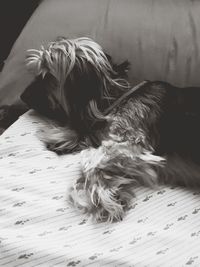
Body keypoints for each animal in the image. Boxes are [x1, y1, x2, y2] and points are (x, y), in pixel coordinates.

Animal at [3, 36, 200, 222]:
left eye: (47, 76)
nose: (22, 96)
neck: (120, 97)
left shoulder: (131, 144)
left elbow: (91, 162)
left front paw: (104, 196)